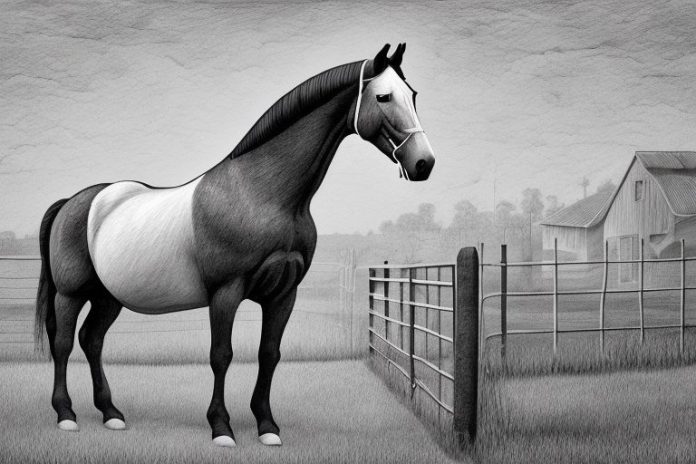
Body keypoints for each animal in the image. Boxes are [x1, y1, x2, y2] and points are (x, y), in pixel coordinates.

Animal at [34, 43, 435, 447]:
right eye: (383, 96)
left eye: (414, 95)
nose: (424, 163)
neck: (259, 193)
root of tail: (74, 202)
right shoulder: (225, 293)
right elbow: (221, 355)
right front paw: (221, 428)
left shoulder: (283, 294)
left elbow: (269, 354)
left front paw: (267, 426)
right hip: (70, 293)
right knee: (64, 343)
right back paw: (66, 415)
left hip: (107, 296)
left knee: (92, 340)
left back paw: (112, 414)